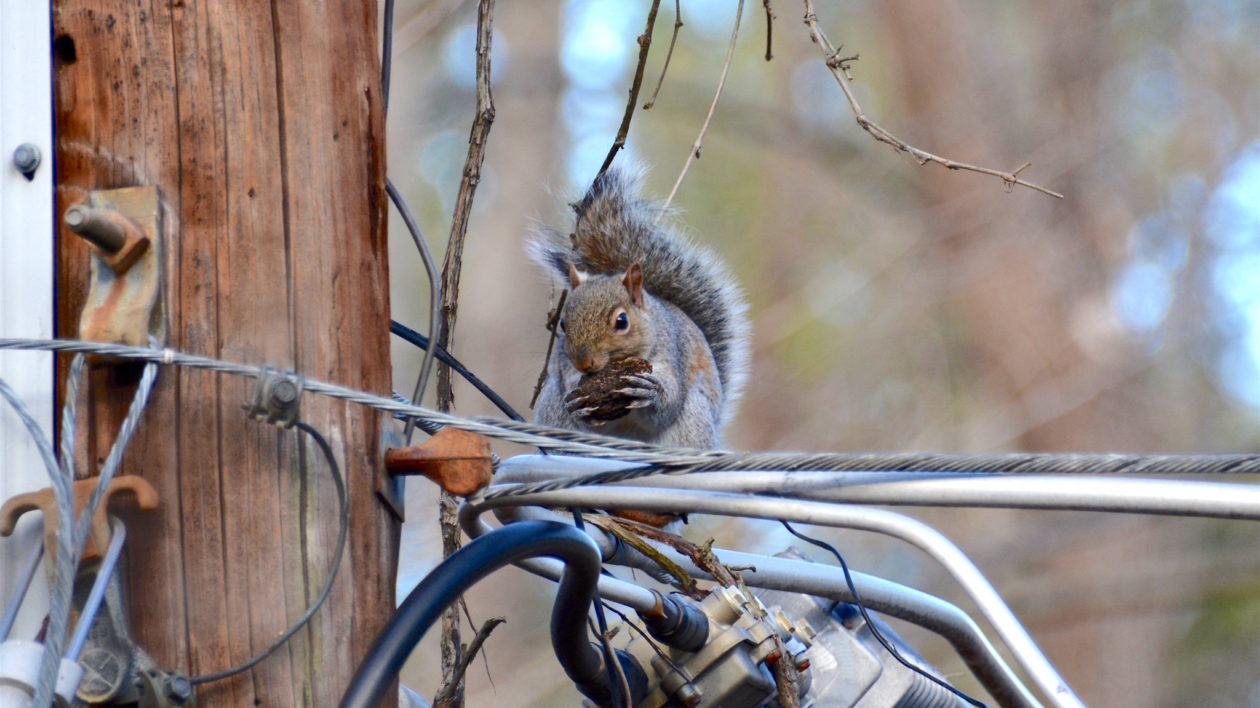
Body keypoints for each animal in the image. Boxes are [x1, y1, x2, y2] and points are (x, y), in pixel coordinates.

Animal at [529, 166, 745, 445]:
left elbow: (666, 408)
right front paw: (578, 403)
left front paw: (650, 392)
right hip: (552, 406)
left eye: (622, 322)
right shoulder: (566, 371)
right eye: (563, 324)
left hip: (694, 420)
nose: (584, 363)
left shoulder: (673, 355)